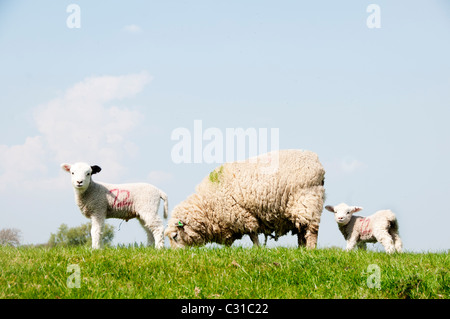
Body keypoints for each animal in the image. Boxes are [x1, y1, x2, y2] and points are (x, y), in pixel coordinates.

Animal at [163, 150, 326, 250]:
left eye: (175, 236)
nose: (177, 255)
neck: (207, 206)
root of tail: (317, 162)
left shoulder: (242, 216)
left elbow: (253, 235)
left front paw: (257, 249)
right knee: (301, 230)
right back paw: (301, 249)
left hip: (308, 201)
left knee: (311, 230)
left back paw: (310, 249)